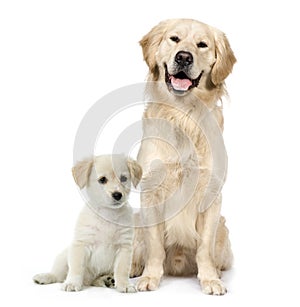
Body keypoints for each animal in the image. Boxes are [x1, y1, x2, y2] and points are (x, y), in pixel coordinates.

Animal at [32, 155, 142, 294]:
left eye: (123, 179)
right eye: (102, 180)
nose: (117, 195)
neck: (107, 214)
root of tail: (88, 281)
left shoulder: (124, 247)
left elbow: (122, 270)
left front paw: (124, 285)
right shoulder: (81, 244)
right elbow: (76, 267)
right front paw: (72, 283)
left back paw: (107, 280)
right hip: (63, 257)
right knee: (58, 275)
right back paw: (45, 277)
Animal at [131, 18, 237, 296]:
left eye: (202, 45)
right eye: (174, 39)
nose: (184, 57)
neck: (183, 115)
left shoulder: (211, 193)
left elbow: (204, 249)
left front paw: (210, 279)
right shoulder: (151, 191)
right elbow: (155, 246)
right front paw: (150, 277)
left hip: (224, 228)